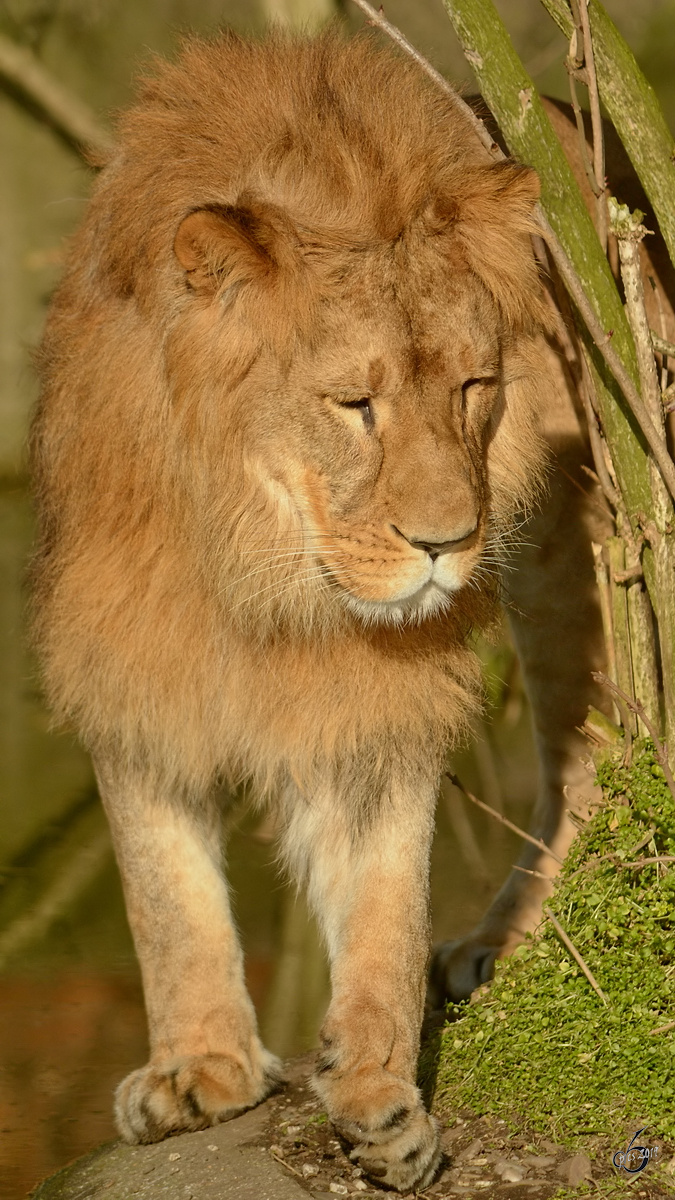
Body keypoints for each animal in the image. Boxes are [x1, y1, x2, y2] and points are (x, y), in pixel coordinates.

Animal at [28, 28, 638, 1190]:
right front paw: (199, 1068)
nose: (446, 544)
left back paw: (500, 942)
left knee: (587, 758)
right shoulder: (124, 646)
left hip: (568, 541)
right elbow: (162, 887)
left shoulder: (380, 690)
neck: (261, 565)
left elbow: (387, 893)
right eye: (355, 404)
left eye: (473, 386)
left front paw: (378, 1097)